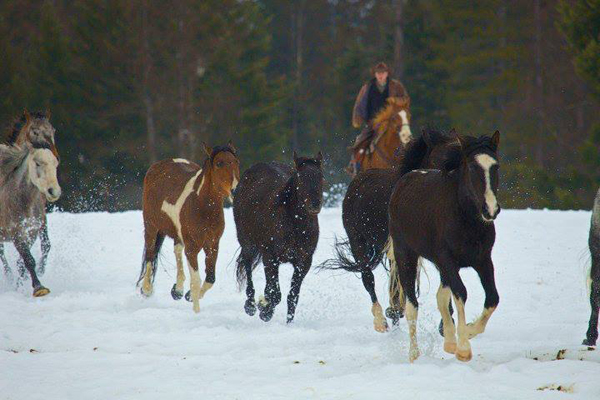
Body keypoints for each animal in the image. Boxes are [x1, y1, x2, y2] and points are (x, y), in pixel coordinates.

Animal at [137, 142, 239, 314]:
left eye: (236, 162)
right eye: (219, 163)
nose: (235, 190)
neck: (202, 206)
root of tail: (158, 166)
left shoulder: (212, 244)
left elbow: (210, 278)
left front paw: (188, 295)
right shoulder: (192, 248)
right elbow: (196, 280)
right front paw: (196, 312)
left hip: (177, 233)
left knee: (177, 250)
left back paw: (177, 290)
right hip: (151, 226)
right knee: (150, 254)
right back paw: (146, 289)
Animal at [233, 152, 324, 324]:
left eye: (321, 176)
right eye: (300, 177)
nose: (315, 204)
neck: (294, 224)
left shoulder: (303, 262)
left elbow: (292, 296)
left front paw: (288, 322)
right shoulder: (271, 257)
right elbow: (275, 293)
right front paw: (265, 311)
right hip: (248, 244)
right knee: (248, 267)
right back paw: (251, 305)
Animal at [322, 130, 458, 332]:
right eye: (439, 161)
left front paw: (446, 323)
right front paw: (395, 311)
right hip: (358, 242)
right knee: (368, 278)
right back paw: (382, 320)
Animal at [386, 131, 500, 362]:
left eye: (496, 166)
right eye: (472, 167)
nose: (491, 209)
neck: (466, 220)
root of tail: (406, 178)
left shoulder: (483, 260)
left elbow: (492, 297)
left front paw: (469, 331)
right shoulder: (448, 259)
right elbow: (461, 293)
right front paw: (464, 349)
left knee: (440, 297)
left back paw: (448, 341)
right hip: (406, 256)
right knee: (411, 306)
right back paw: (414, 354)